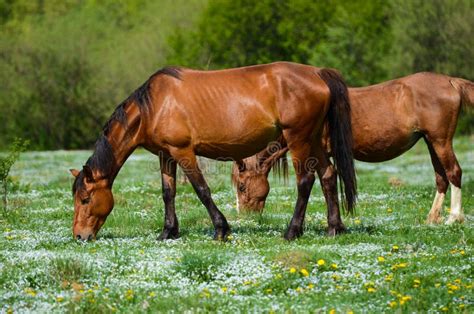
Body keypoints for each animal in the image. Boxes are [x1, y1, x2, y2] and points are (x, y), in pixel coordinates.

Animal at [70, 62, 358, 242]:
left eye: (85, 199)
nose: (79, 236)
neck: (153, 106)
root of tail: (318, 73)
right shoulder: (166, 155)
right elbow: (168, 192)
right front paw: (168, 232)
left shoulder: (183, 151)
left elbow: (201, 190)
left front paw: (221, 229)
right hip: (313, 140)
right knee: (328, 175)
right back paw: (334, 228)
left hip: (298, 138)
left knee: (305, 181)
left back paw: (292, 231)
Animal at [234, 72, 474, 231]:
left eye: (242, 186)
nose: (245, 216)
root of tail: (450, 81)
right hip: (431, 141)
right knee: (441, 178)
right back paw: (432, 218)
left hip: (441, 141)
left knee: (454, 172)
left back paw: (454, 218)